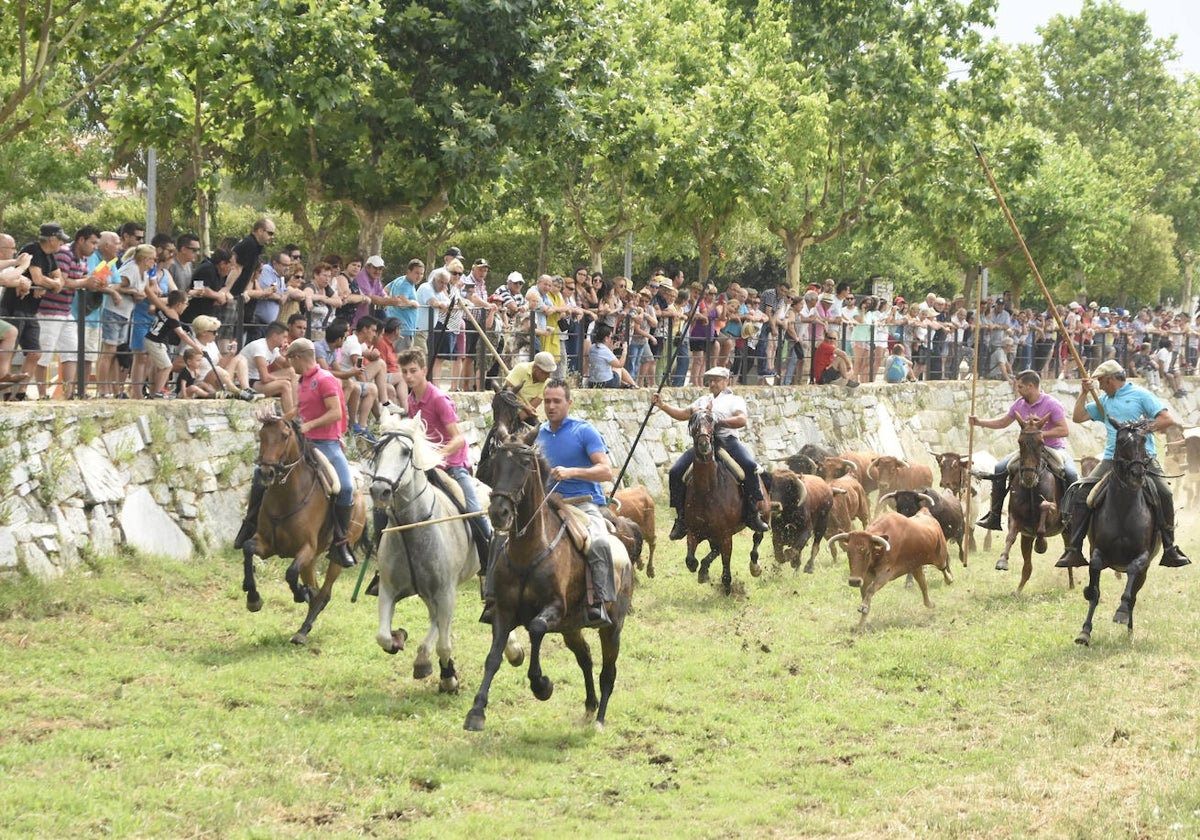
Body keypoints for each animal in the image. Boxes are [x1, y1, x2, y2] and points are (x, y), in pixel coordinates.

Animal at [242, 417, 364, 648]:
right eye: (261, 435)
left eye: (284, 436)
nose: (266, 473)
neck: (286, 495)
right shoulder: (267, 545)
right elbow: (247, 549)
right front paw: (253, 598)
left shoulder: (305, 548)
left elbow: (290, 573)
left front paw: (300, 594)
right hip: (312, 559)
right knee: (315, 589)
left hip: (336, 554)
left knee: (324, 593)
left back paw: (302, 629)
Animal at [367, 410, 523, 691]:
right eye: (378, 449)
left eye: (406, 452)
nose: (379, 490)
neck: (413, 528)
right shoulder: (389, 589)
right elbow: (383, 636)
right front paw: (399, 637)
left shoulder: (446, 592)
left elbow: (444, 645)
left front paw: (448, 677)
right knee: (434, 620)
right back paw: (421, 658)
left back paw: (514, 649)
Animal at [463, 436, 638, 729]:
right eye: (495, 463)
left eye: (525, 464)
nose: (499, 512)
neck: (529, 550)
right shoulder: (504, 611)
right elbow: (493, 657)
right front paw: (476, 711)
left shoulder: (554, 608)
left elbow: (535, 628)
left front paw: (542, 685)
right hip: (571, 628)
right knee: (585, 658)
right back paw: (590, 706)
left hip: (612, 627)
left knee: (608, 670)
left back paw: (600, 719)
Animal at [686, 408, 768, 592]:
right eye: (694, 424)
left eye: (711, 422)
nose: (704, 444)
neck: (707, 490)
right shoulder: (694, 531)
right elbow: (691, 560)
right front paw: (702, 572)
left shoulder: (725, 535)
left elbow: (726, 560)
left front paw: (727, 585)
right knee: (713, 550)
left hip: (764, 515)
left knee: (757, 537)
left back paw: (755, 567)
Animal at [1075, 417, 1156, 648]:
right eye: (1120, 441)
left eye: (1144, 439)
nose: (1137, 474)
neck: (1123, 507)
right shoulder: (1098, 551)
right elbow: (1094, 583)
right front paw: (1085, 631)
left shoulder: (1142, 557)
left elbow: (1132, 570)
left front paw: (1121, 612)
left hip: (1144, 573)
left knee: (1134, 595)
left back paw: (1129, 630)